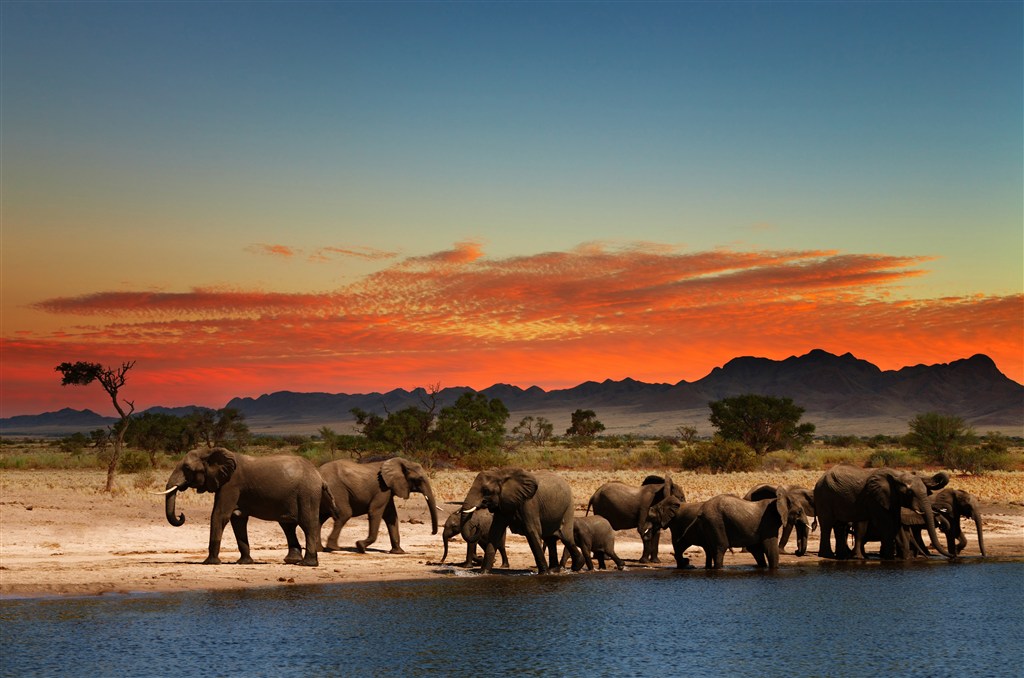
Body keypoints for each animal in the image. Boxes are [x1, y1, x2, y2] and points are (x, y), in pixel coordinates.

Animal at [157, 448, 335, 565]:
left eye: (187, 468)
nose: (181, 515)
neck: (210, 451)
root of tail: (319, 476)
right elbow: (238, 519)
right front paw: (244, 562)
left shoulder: (231, 485)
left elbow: (220, 515)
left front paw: (210, 562)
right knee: (288, 525)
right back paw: (291, 561)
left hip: (307, 493)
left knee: (307, 523)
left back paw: (308, 564)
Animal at [815, 467, 950, 561]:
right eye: (910, 493)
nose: (952, 555)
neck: (896, 475)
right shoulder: (874, 497)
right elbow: (886, 523)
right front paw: (890, 557)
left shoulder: (891, 499)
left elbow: (896, 522)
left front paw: (903, 558)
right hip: (823, 496)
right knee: (827, 524)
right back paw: (828, 555)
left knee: (839, 525)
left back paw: (841, 556)